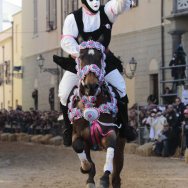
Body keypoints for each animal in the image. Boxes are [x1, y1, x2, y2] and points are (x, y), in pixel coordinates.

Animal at [65, 41, 126, 188]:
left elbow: (110, 146)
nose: (91, 86)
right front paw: (86, 169)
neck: (91, 102)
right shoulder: (79, 135)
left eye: (100, 57)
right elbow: (79, 148)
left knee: (116, 176)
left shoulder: (110, 132)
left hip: (120, 146)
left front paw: (103, 179)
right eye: (81, 57)